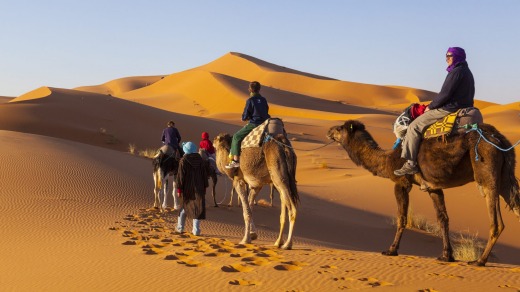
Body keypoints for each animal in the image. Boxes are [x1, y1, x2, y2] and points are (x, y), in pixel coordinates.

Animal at [330, 120, 520, 266]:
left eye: (339, 128)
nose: (329, 131)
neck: (387, 159)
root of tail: (500, 139)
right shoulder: (433, 188)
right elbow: (443, 219)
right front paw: (446, 256)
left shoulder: (401, 183)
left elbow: (402, 218)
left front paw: (391, 250)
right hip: (505, 178)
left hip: (487, 173)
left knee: (496, 223)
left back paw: (479, 260)